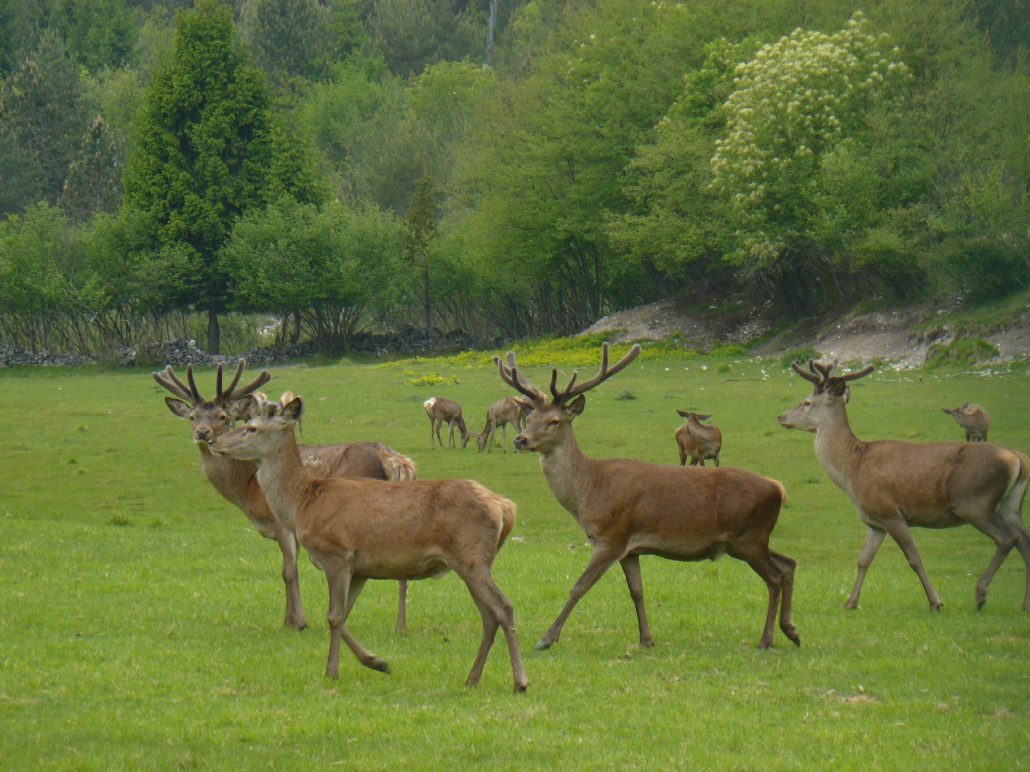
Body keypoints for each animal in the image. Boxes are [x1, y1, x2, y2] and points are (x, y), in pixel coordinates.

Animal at [150, 362, 416, 634]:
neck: (246, 487)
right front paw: (290, 618)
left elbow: (288, 571)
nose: (204, 434)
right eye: (192, 417)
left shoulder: (281, 524)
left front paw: (297, 621)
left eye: (222, 417)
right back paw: (401, 626)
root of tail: (396, 462)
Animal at [211, 393, 531, 695]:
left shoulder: (336, 554)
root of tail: (506, 508)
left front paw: (332, 671)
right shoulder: (360, 568)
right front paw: (377, 662)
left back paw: (520, 681)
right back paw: (472, 679)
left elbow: (333, 616)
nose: (214, 440)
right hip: (471, 563)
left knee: (504, 607)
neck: (303, 503)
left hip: (471, 557)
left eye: (251, 427)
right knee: (489, 617)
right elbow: (344, 615)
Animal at [494, 343, 799, 654]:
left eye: (554, 421)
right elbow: (637, 591)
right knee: (788, 564)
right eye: (530, 418)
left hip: (748, 537)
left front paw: (546, 638)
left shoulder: (611, 537)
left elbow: (579, 587)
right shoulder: (630, 549)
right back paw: (791, 631)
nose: (521, 439)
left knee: (774, 579)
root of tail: (779, 488)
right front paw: (646, 639)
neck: (589, 491)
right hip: (751, 540)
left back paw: (766, 639)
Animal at [778, 360, 1030, 613]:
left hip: (974, 502)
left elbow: (914, 559)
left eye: (807, 402)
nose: (781, 416)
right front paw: (850, 602)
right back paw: (1023, 605)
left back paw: (980, 594)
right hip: (1010, 506)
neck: (852, 471)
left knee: (1006, 539)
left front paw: (935, 602)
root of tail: (1016, 458)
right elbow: (863, 559)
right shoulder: (874, 521)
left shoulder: (891, 513)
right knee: (1023, 540)